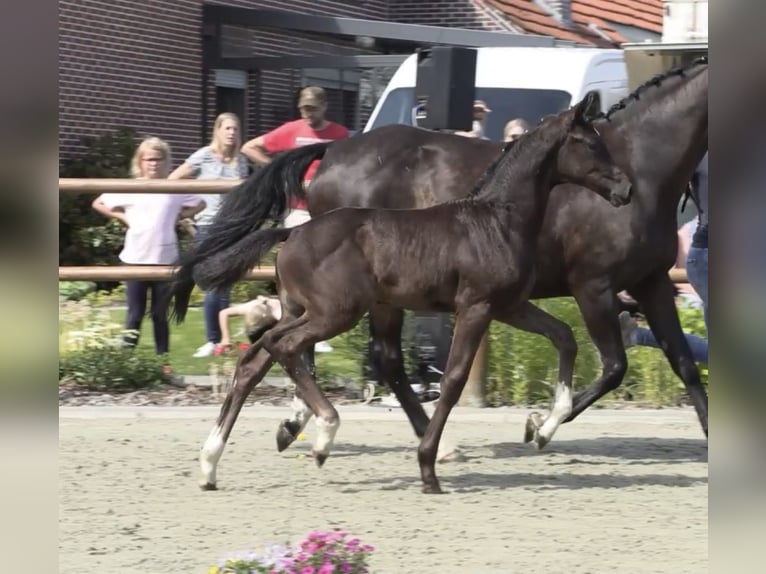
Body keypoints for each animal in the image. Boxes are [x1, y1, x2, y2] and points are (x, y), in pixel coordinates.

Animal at [173, 57, 708, 455]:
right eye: (591, 145)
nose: (622, 189)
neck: (644, 168)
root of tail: (333, 150)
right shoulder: (593, 285)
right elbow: (614, 367)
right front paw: (539, 427)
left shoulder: (652, 283)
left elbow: (684, 363)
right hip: (368, 299)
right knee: (374, 355)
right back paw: (416, 438)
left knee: (288, 347)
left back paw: (293, 425)